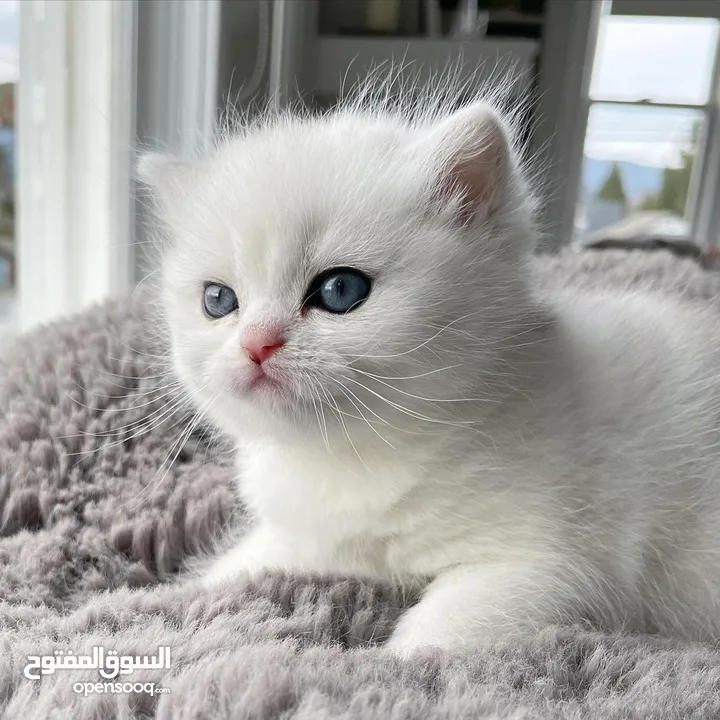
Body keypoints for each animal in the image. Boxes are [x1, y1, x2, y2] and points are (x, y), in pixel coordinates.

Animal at [139, 81, 720, 656]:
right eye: (218, 300)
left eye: (340, 290)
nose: (257, 344)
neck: (355, 455)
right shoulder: (312, 533)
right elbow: (240, 565)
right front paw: (170, 596)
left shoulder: (545, 564)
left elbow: (433, 639)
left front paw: (380, 668)